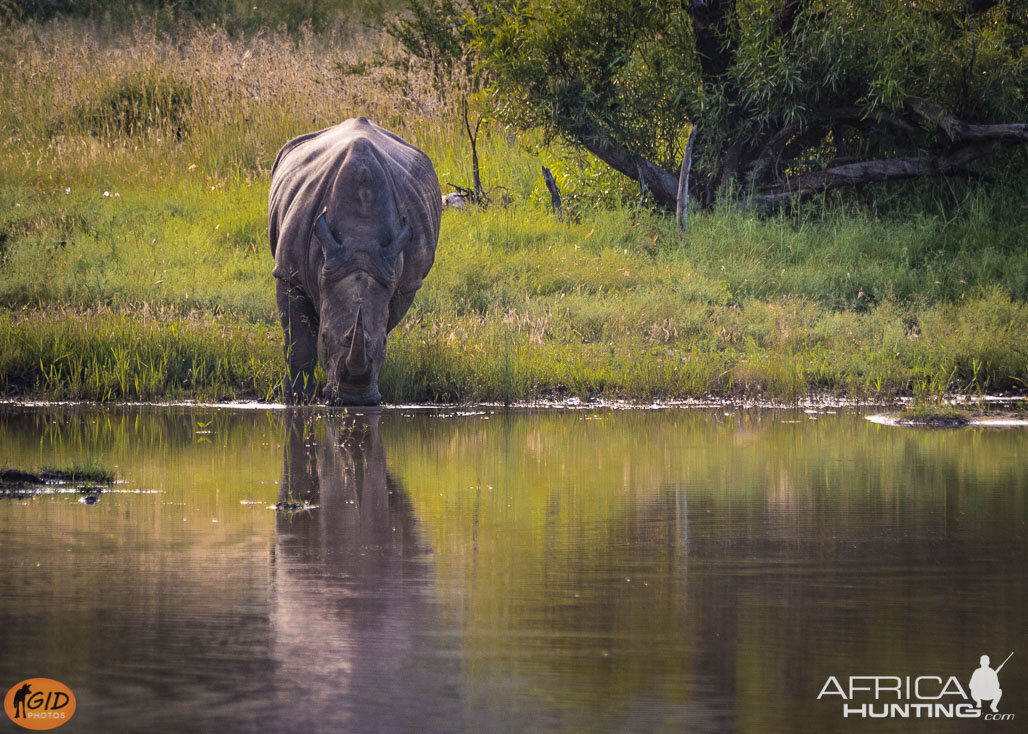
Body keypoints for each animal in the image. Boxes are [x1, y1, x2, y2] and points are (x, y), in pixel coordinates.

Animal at [267, 120, 439, 405]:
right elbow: (298, 344)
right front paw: (295, 399)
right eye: (324, 337)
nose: (353, 400)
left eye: (384, 344)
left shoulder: (402, 282)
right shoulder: (288, 273)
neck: (360, 246)